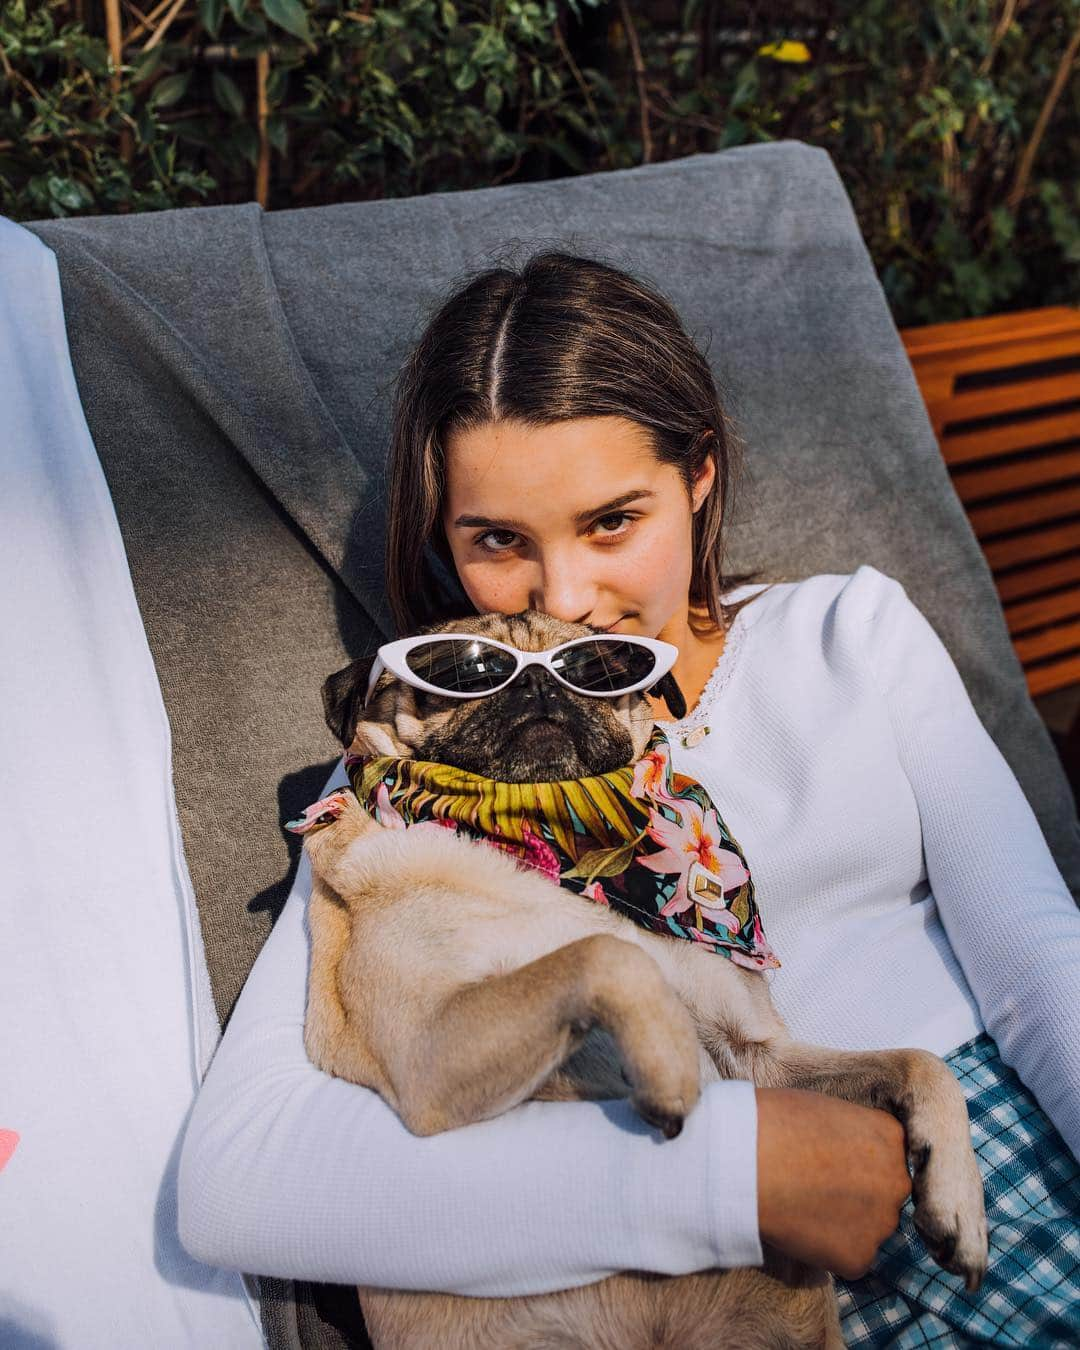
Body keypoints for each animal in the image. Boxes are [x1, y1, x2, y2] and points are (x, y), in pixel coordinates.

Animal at [292, 612, 988, 1350]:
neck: (562, 847)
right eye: (460, 674)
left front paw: (958, 1200)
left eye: (595, 668)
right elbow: (607, 954)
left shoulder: (759, 1060)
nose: (538, 681)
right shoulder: (428, 1054)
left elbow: (920, 1064)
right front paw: (668, 1063)